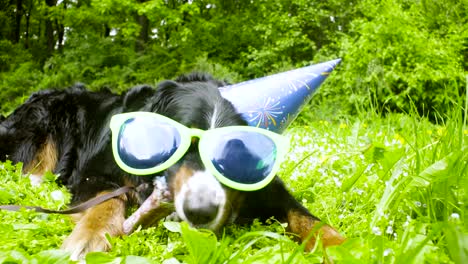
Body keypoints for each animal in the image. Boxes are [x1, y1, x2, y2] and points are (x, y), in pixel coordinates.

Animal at [0, 73, 344, 258]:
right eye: (180, 141)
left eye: (234, 153)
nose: (201, 212)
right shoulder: (92, 173)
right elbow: (107, 201)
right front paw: (89, 238)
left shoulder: (266, 186)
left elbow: (306, 218)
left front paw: (344, 246)